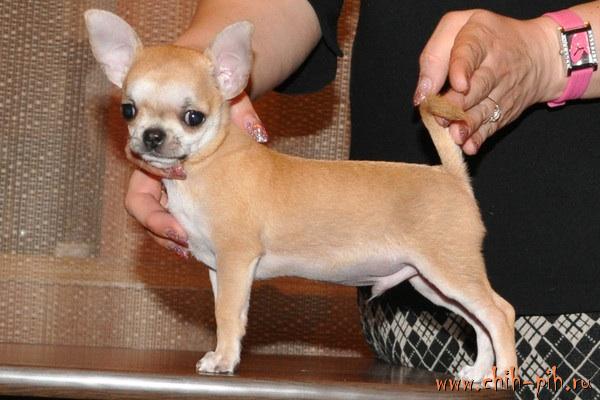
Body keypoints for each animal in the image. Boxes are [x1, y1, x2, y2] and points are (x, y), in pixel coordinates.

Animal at [85, 9, 517, 381]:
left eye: (193, 117)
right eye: (128, 110)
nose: (152, 136)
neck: (207, 164)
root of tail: (451, 175)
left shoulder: (236, 259)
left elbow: (228, 315)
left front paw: (224, 360)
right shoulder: (218, 269)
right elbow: (226, 311)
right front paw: (223, 354)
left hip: (450, 270)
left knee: (500, 314)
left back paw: (506, 375)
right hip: (432, 281)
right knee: (480, 322)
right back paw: (480, 372)